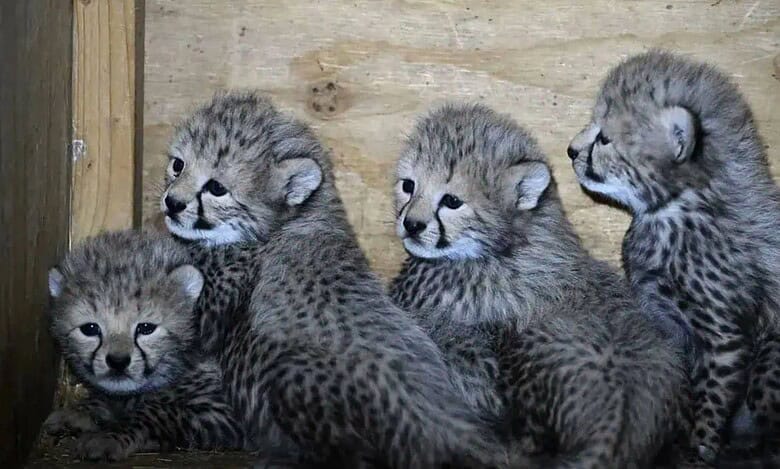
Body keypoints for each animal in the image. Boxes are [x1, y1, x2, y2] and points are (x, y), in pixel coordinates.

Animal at [43, 230, 244, 461]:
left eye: (146, 328)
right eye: (90, 328)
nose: (118, 362)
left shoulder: (225, 412)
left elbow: (157, 412)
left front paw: (109, 436)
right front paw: (79, 412)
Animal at [567, 50, 780, 464]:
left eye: (605, 138)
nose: (570, 150)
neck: (675, 211)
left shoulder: (724, 339)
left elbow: (710, 407)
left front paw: (697, 452)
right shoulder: (664, 322)